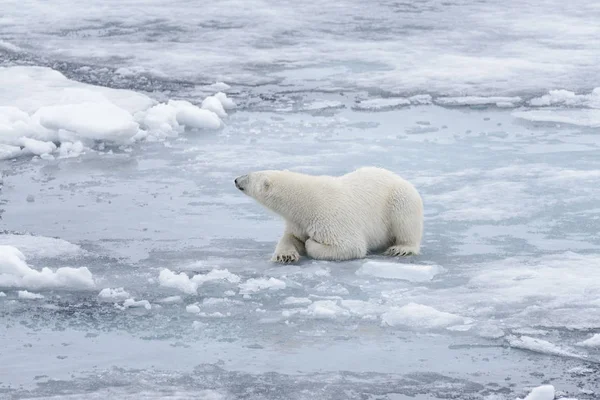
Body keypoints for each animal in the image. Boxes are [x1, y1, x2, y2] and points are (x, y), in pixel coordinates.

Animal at [233, 167, 422, 264]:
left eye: (248, 176)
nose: (235, 179)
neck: (305, 203)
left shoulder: (330, 217)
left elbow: (350, 246)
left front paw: (310, 242)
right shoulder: (298, 222)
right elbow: (291, 237)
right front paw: (285, 255)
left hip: (400, 199)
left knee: (406, 222)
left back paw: (401, 248)